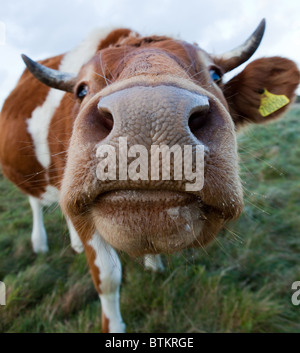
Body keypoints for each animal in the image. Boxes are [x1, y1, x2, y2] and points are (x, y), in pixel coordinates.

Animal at [0, 18, 300, 332]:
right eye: (81, 90)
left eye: (215, 74)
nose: (148, 115)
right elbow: (108, 277)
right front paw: (115, 326)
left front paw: (153, 263)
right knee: (35, 201)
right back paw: (39, 243)